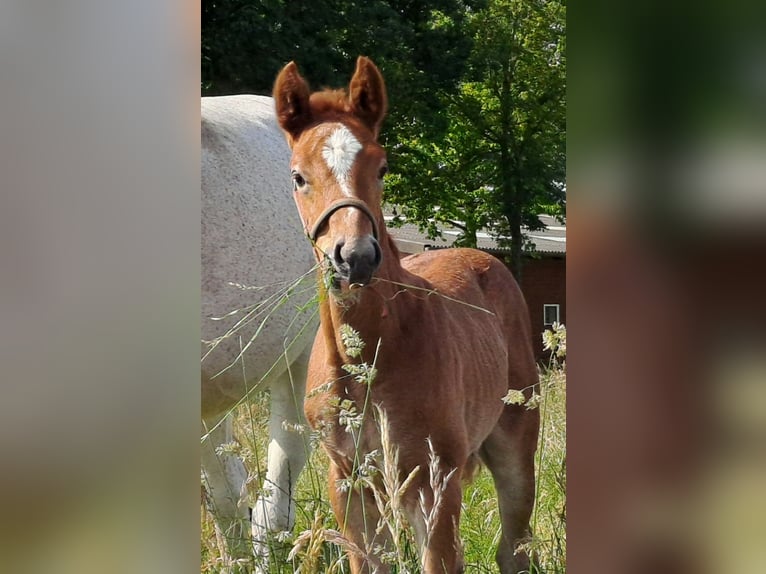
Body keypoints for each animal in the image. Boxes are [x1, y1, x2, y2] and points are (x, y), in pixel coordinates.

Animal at [276, 58, 540, 574]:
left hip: (515, 443)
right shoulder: (348, 480)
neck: (369, 357)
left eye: (382, 166)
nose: (354, 258)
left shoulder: (432, 479)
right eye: (298, 176)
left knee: (514, 549)